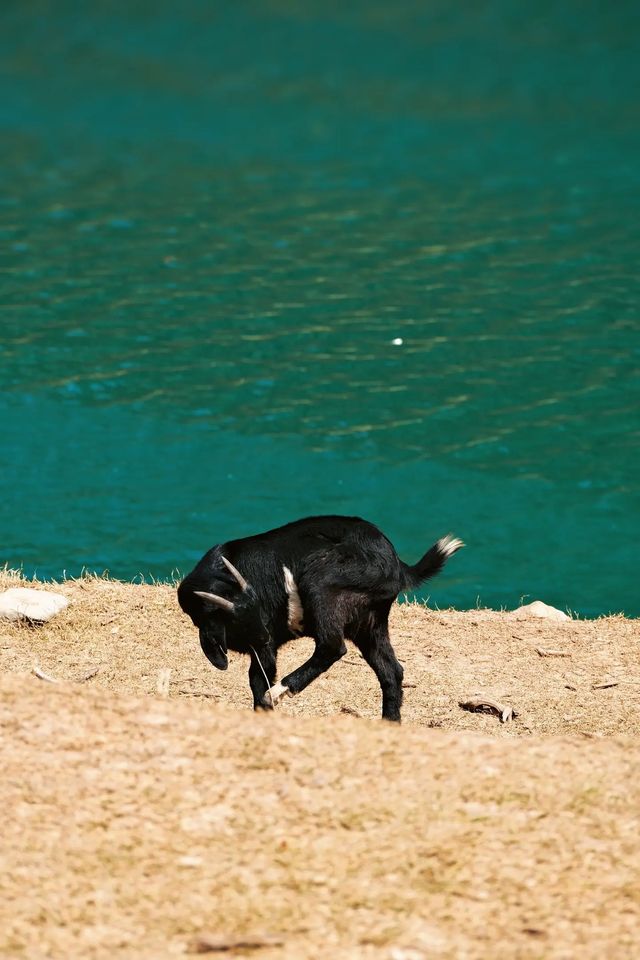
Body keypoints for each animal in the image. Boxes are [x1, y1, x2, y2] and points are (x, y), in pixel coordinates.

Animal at [178, 516, 462, 720]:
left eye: (255, 607)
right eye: (233, 618)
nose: (265, 635)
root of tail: (397, 563)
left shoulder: (264, 643)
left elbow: (259, 677)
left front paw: (266, 706)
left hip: (324, 588)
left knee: (332, 647)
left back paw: (279, 692)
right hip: (369, 622)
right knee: (392, 671)